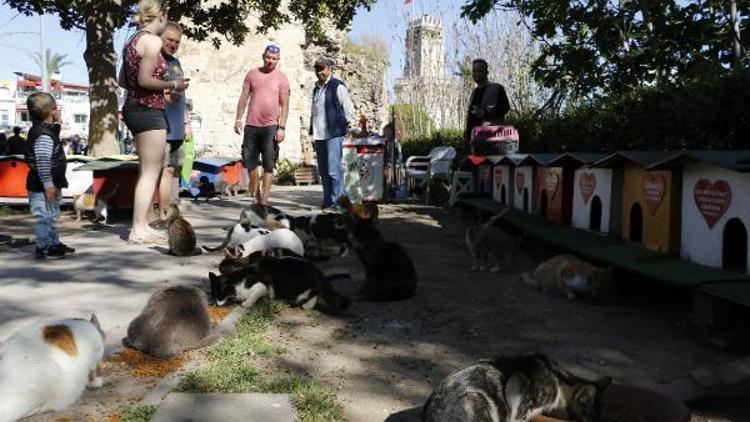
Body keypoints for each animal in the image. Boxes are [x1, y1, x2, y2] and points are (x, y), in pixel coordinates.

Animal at [212, 251, 352, 314]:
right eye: (215, 295)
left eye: (222, 294)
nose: (217, 304)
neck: (238, 279)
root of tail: (316, 270)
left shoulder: (262, 285)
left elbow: (254, 294)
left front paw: (246, 303)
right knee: (315, 292)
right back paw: (307, 305)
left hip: (295, 285)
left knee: (315, 291)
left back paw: (305, 305)